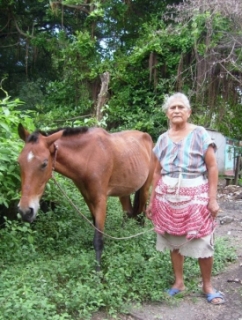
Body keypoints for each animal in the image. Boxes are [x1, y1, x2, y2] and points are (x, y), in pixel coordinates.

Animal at [17, 124, 157, 268]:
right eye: (19, 162)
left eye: (44, 163)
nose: (25, 211)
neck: (89, 158)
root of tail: (147, 137)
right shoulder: (88, 198)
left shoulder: (101, 200)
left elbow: (98, 239)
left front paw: (98, 272)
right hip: (124, 191)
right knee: (128, 212)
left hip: (145, 189)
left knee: (141, 213)